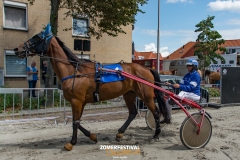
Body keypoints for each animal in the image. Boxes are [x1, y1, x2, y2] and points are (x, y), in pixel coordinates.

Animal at [13, 24, 167, 151]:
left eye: (37, 37)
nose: (17, 48)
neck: (75, 71)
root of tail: (146, 68)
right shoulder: (80, 102)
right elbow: (77, 121)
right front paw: (92, 136)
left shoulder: (76, 101)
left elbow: (75, 122)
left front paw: (71, 142)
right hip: (129, 94)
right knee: (133, 113)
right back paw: (120, 133)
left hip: (145, 95)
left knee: (155, 112)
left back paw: (156, 134)